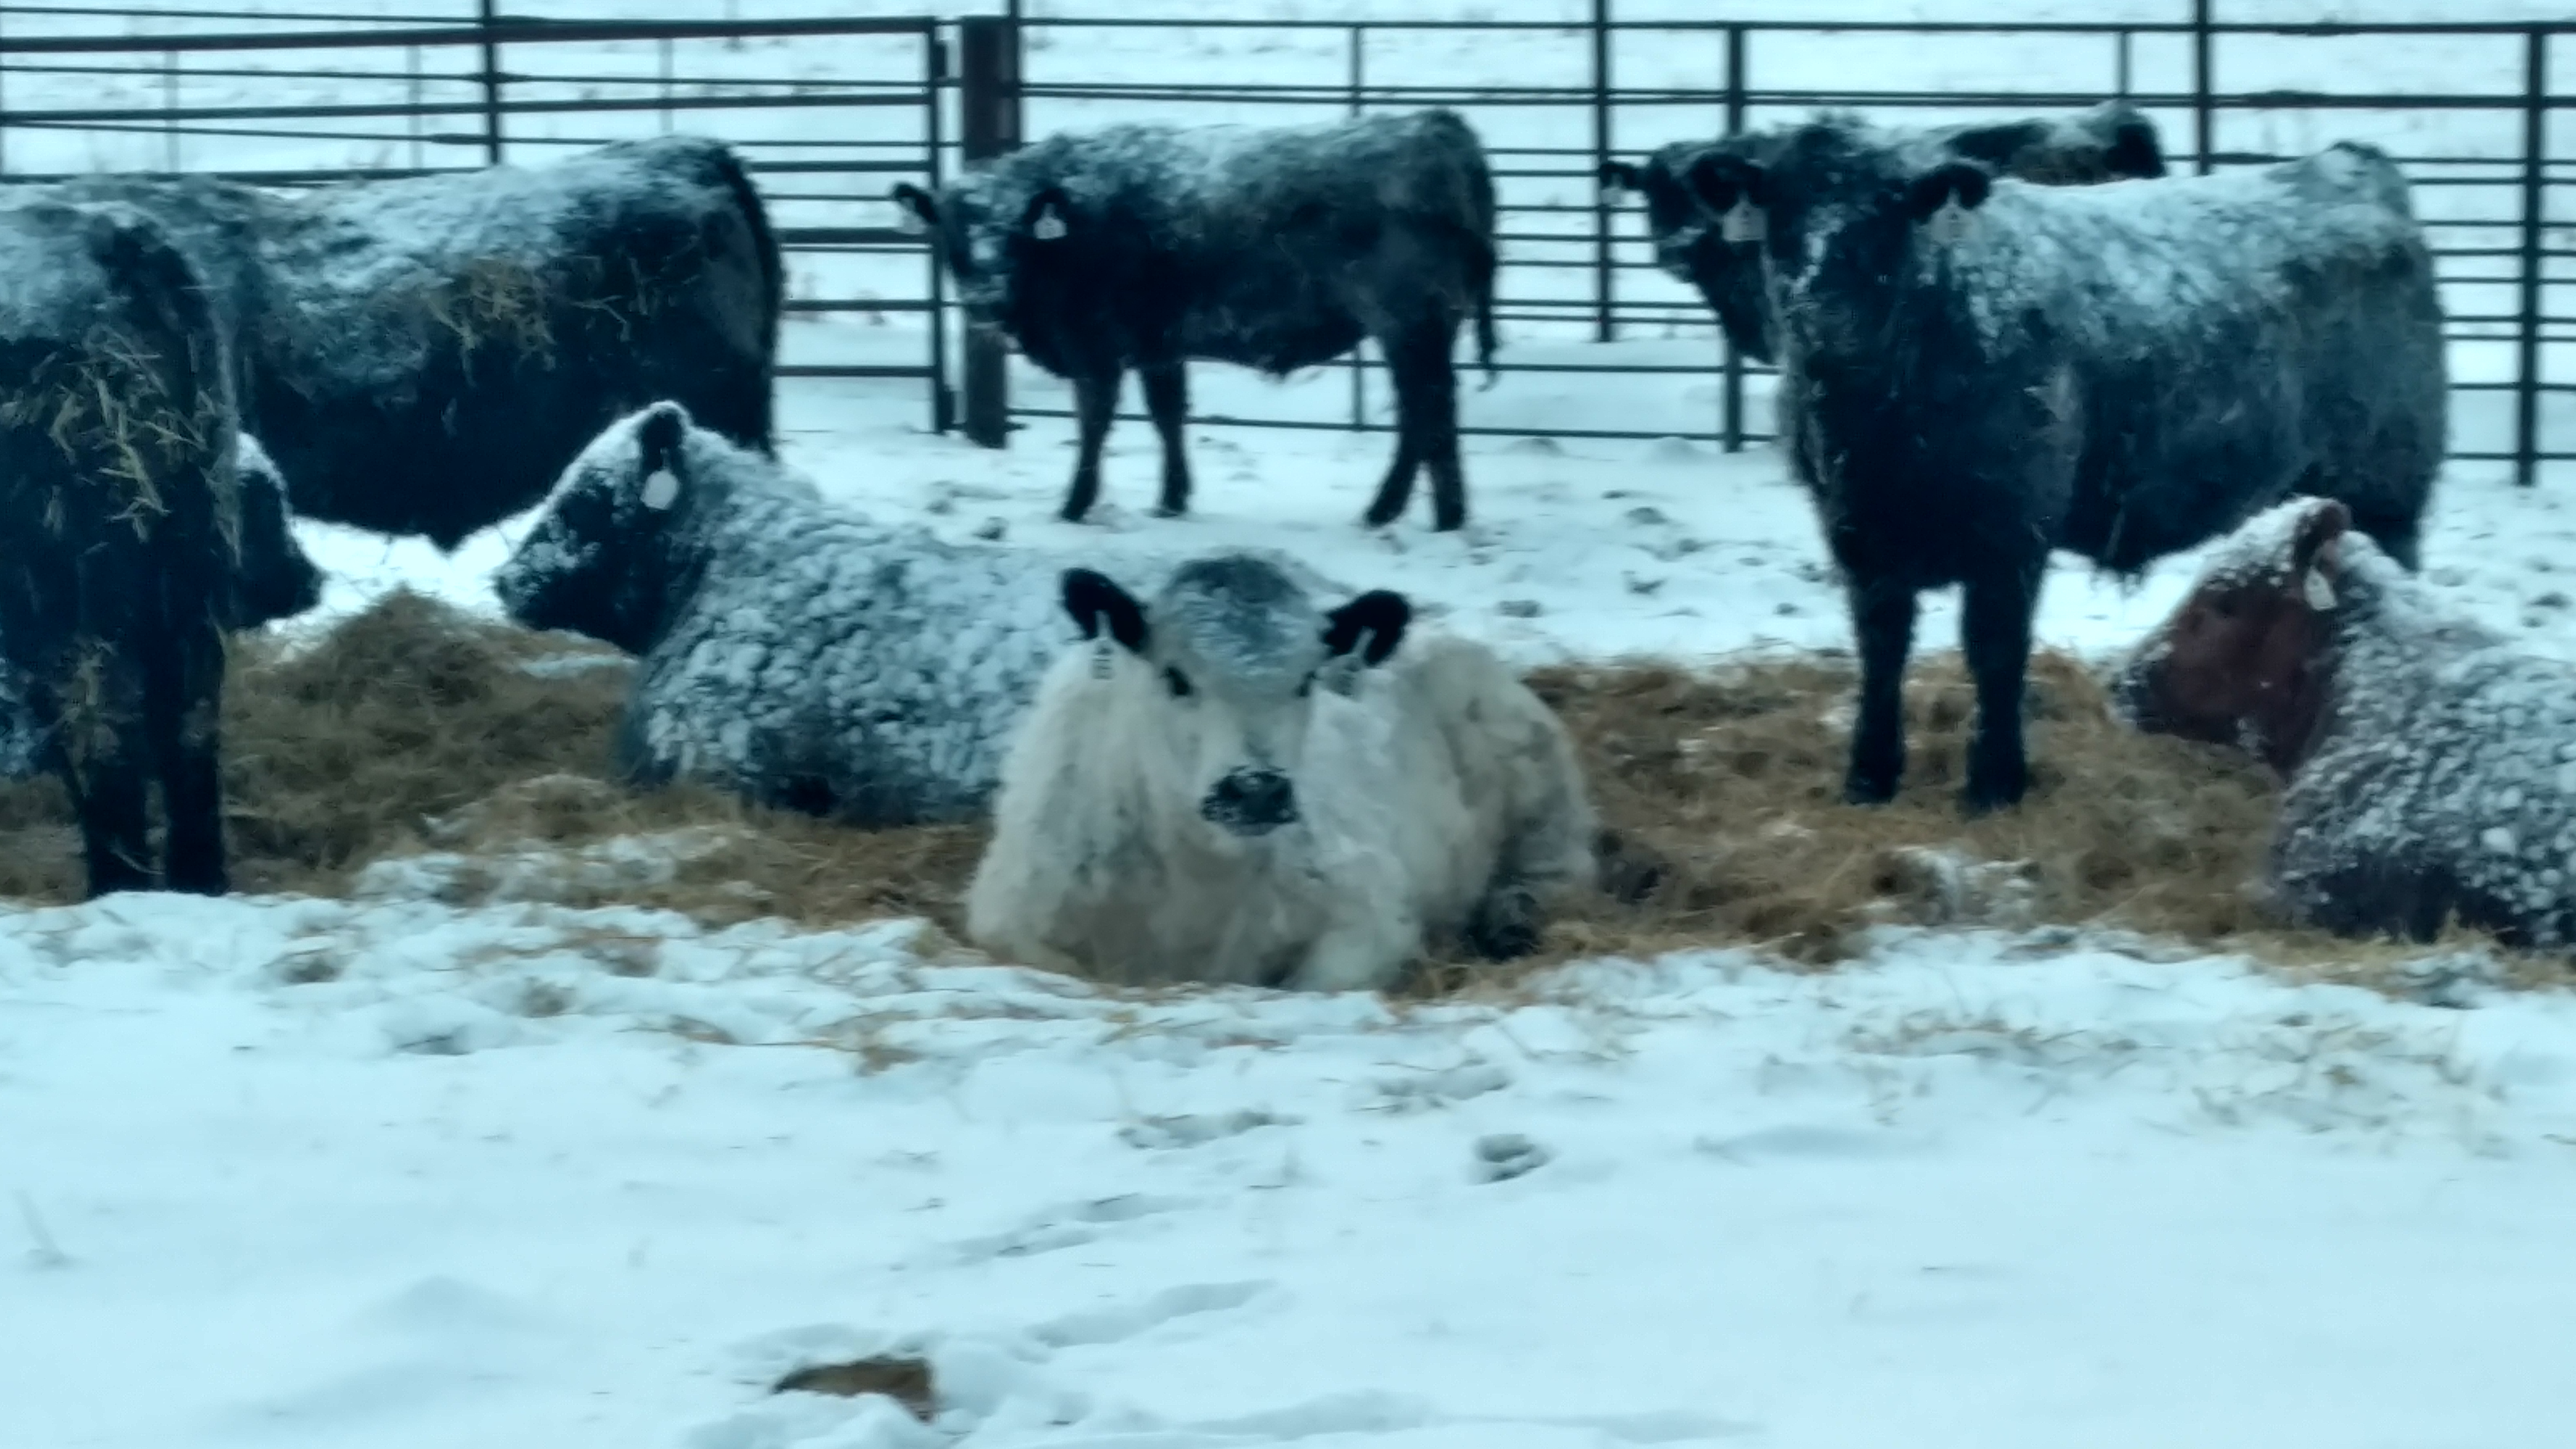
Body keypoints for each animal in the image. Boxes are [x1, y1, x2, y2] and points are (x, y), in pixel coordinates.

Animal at [0, 200, 288, 897]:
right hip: (187, 558)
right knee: (190, 722)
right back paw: (198, 880)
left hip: (74, 582)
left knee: (102, 727)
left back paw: (118, 879)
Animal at [891, 109, 1500, 532]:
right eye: (952, 229)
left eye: (1013, 230)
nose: (986, 298)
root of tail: (1434, 125)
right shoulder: (1158, 347)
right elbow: (1168, 416)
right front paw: (1172, 499)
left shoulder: (1096, 350)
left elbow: (1095, 425)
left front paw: (1074, 506)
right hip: (1421, 330)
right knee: (1430, 413)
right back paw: (1435, 513)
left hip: (1408, 325)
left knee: (1425, 409)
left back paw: (1402, 511)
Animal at [964, 552, 1597, 991]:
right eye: (1175, 678)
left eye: (1306, 680)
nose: (1256, 790)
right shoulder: (1006, 920)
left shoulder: (1372, 915)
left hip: (1539, 786)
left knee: (1555, 872)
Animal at [1681, 115, 2445, 815]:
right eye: (1782, 214)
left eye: (1885, 219)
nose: (1818, 315)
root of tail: (2345, 162)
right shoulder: (1859, 534)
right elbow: (1882, 648)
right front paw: (1869, 776)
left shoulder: (2010, 532)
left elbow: (1994, 652)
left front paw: (1994, 784)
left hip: (2386, 491)